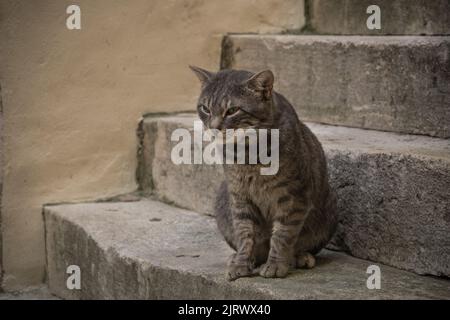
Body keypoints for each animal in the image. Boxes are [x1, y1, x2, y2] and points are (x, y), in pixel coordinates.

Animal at [190, 67, 338, 280]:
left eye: (232, 110)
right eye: (205, 108)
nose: (214, 127)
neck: (247, 153)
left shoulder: (293, 197)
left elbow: (282, 235)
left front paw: (276, 264)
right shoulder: (240, 195)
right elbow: (245, 234)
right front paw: (241, 263)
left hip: (329, 210)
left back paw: (300, 257)